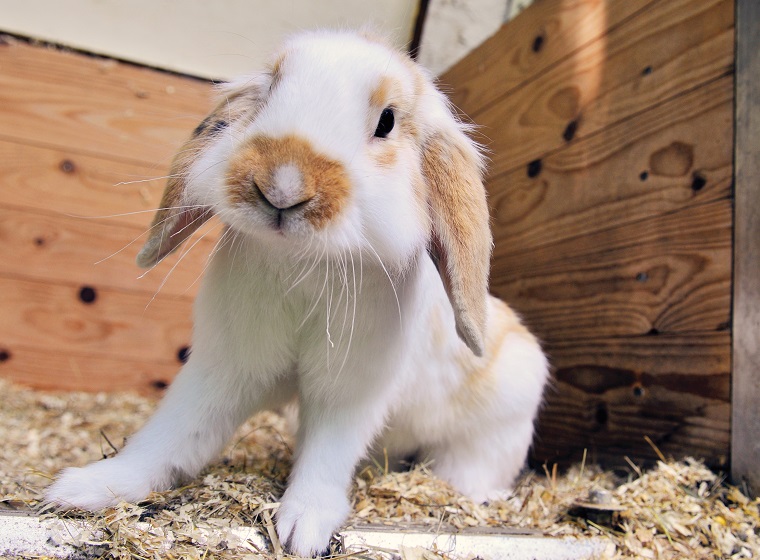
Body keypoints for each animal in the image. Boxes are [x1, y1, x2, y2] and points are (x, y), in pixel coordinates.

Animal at [46, 29, 548, 556]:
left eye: (387, 121)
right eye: (271, 89)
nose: (283, 184)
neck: (302, 266)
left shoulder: (348, 391)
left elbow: (327, 455)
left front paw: (302, 528)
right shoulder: (224, 368)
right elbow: (175, 431)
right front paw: (87, 488)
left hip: (493, 432)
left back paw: (468, 492)